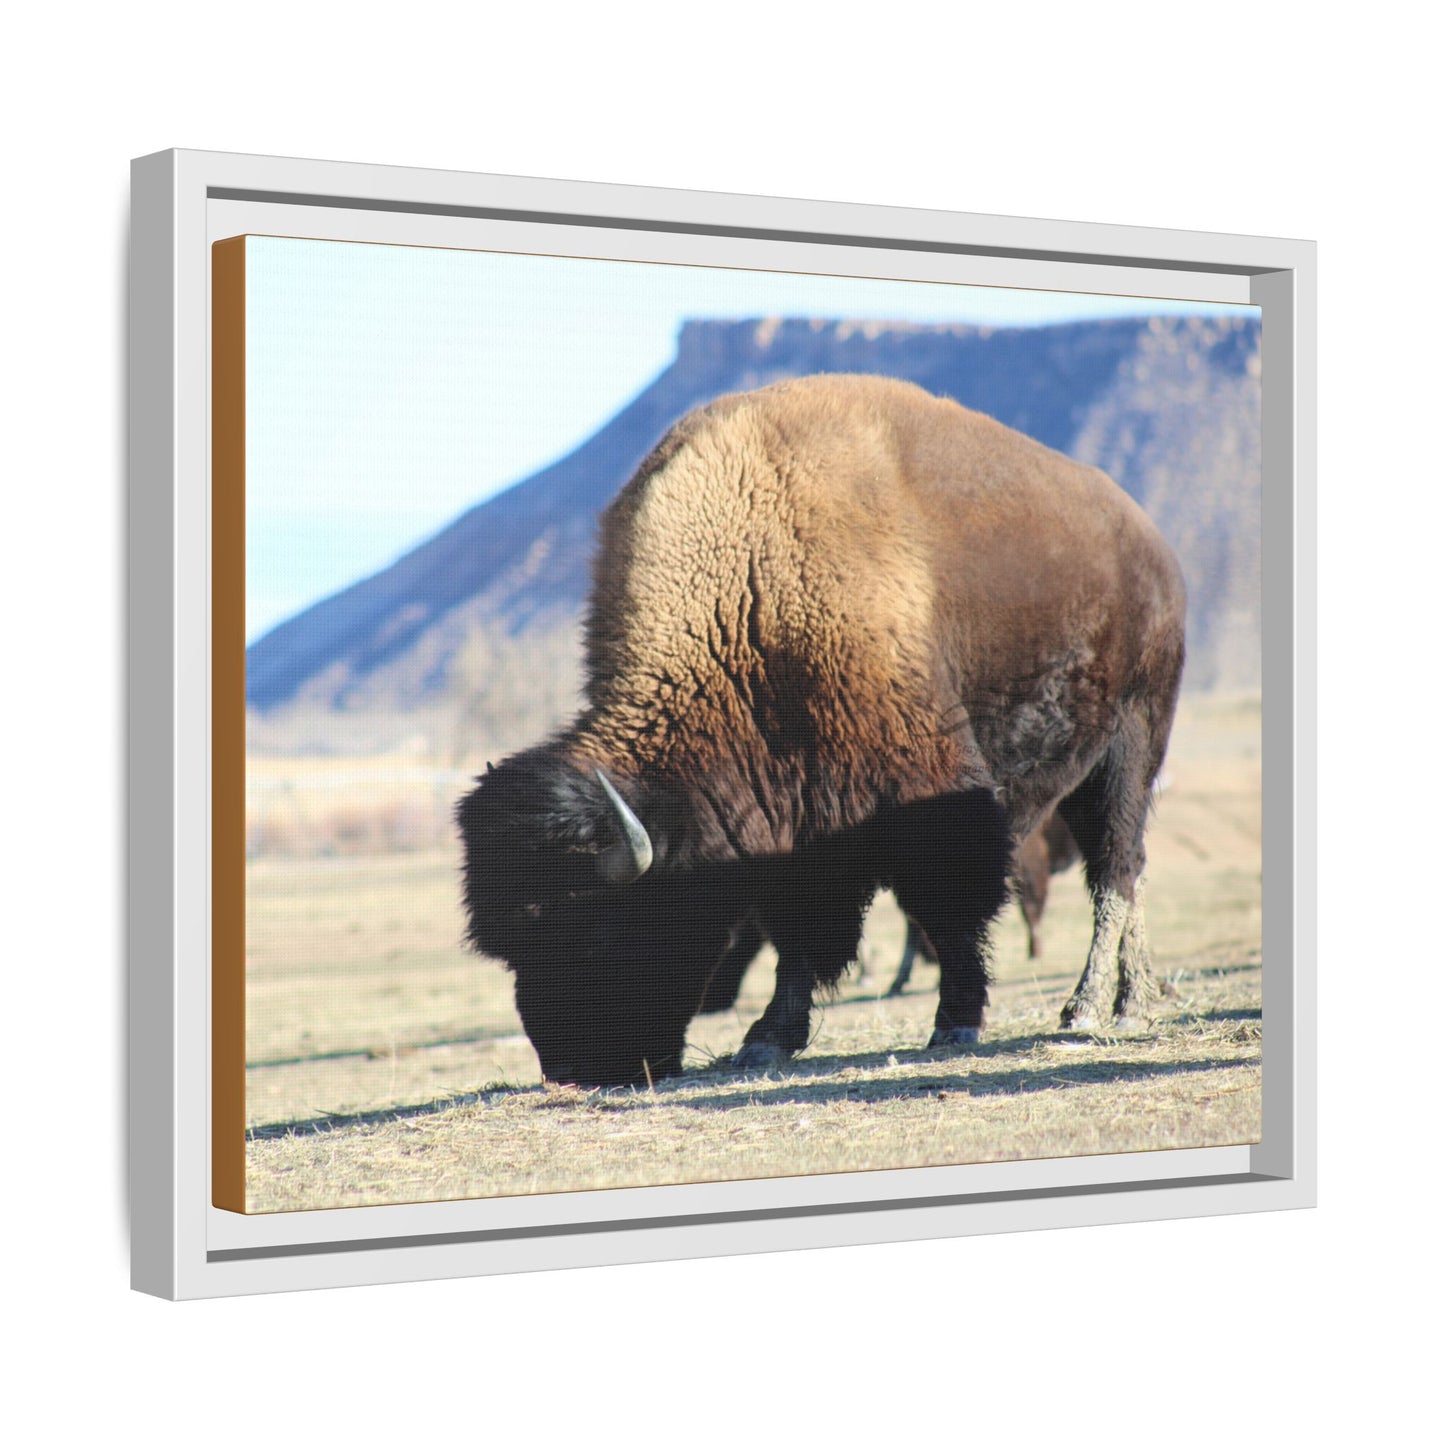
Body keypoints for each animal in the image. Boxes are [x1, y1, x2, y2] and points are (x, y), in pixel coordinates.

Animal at [458, 374, 1185, 1086]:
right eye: (510, 946)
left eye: (592, 927)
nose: (571, 1070)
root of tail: (1151, 546)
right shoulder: (793, 824)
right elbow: (798, 934)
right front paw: (766, 1040)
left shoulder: (928, 792)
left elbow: (948, 908)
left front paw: (955, 1022)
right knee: (1127, 869)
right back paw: (1132, 997)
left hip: (1129, 747)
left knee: (1115, 870)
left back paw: (1095, 1006)